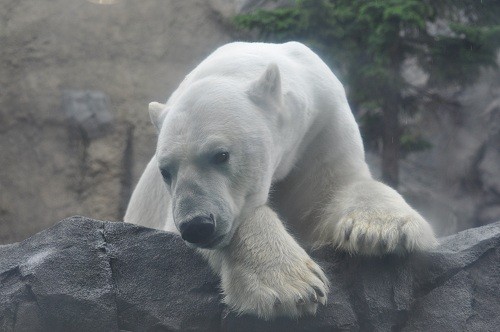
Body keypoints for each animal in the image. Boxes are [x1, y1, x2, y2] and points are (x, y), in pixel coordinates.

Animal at [126, 40, 438, 320]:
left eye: (221, 155)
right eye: (165, 171)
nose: (197, 225)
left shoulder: (321, 125)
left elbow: (338, 188)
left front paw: (381, 231)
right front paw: (293, 287)